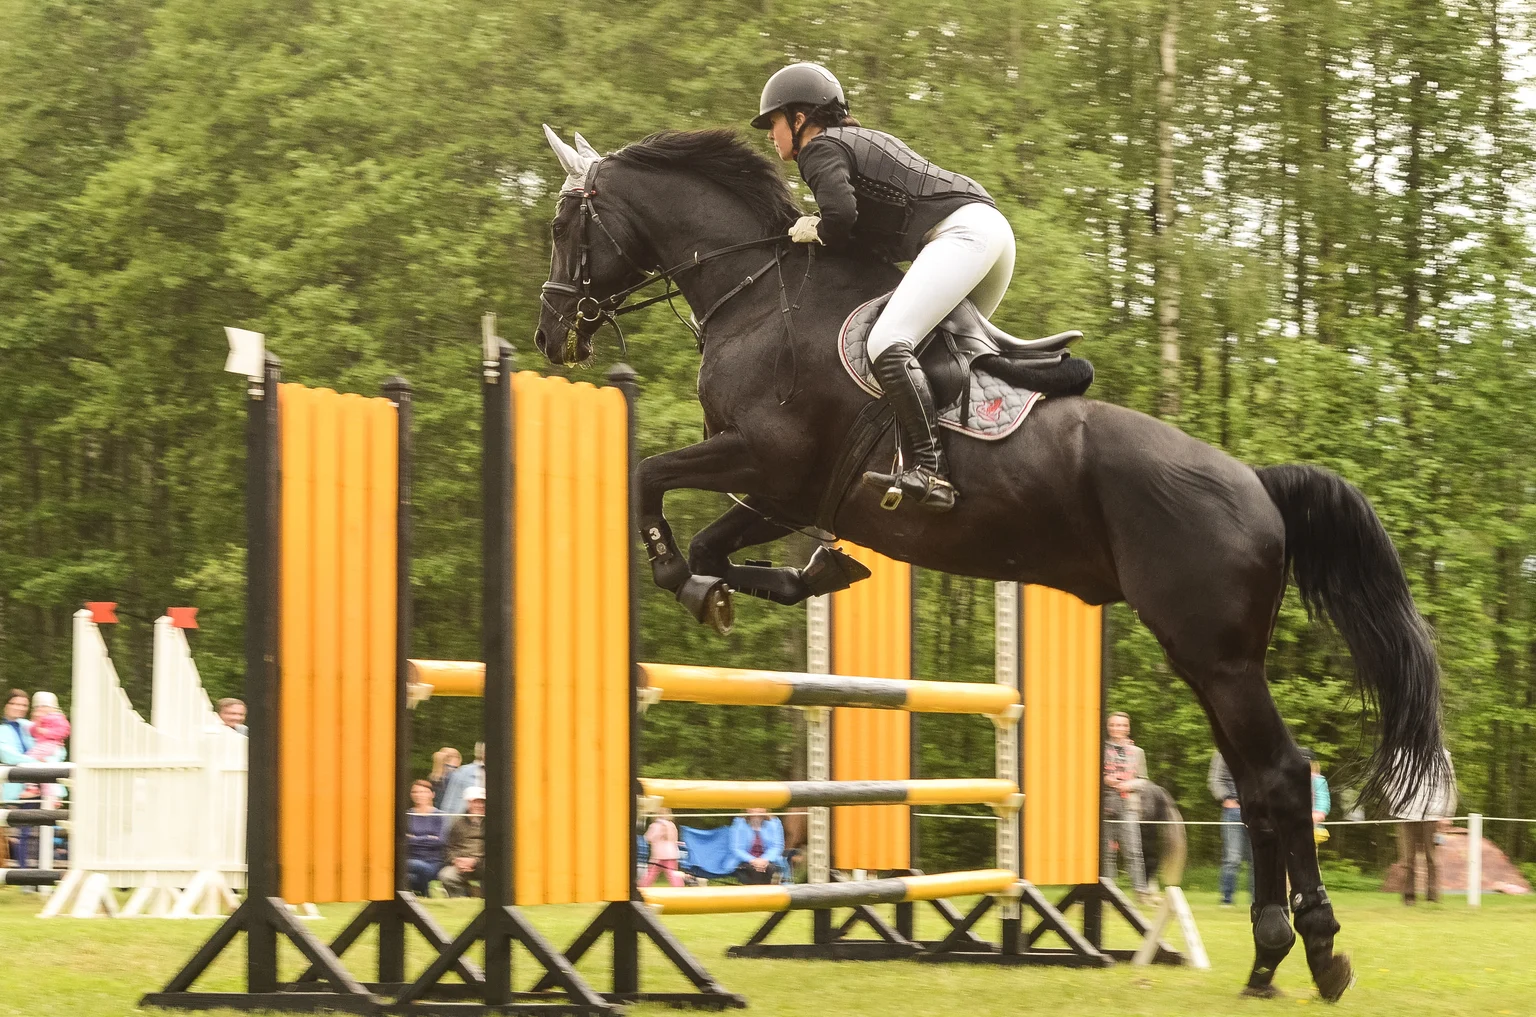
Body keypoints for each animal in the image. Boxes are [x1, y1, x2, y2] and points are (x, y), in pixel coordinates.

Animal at [533, 126, 1446, 1001]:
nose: (549, 333)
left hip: (1220, 659)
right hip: (1207, 660)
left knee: (1283, 777)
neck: (757, 292)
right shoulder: (783, 494)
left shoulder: (766, 461)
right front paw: (780, 580)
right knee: (1254, 787)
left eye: (565, 224)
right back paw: (1266, 958)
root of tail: (1255, 481)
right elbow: (716, 541)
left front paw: (685, 577)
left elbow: (648, 478)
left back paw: (1320, 951)